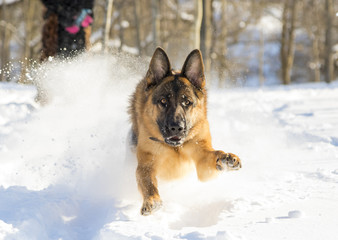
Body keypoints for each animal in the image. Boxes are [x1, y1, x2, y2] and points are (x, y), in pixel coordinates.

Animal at [128, 47, 242, 216]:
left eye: (187, 102)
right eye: (163, 101)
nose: (176, 127)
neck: (175, 148)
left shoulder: (202, 160)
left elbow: (214, 155)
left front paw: (225, 159)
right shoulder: (146, 164)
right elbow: (147, 181)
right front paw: (152, 200)